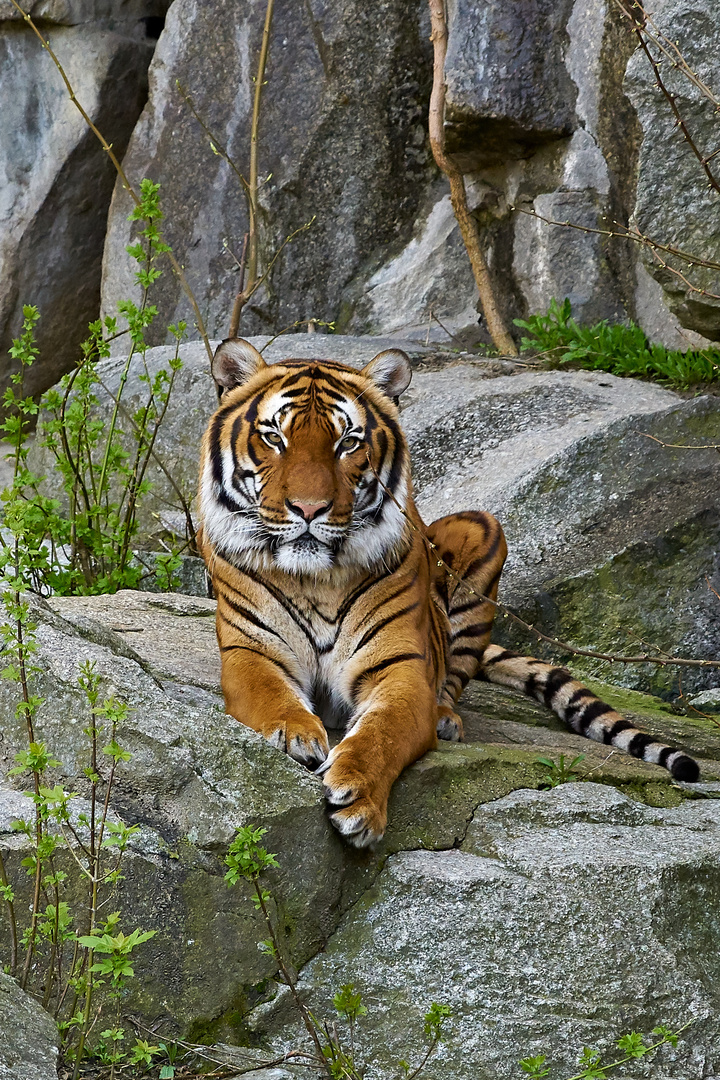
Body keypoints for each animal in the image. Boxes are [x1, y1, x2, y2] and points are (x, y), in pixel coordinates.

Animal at [195, 341, 699, 846]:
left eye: (348, 443)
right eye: (274, 438)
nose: (308, 508)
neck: (314, 578)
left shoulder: (401, 667)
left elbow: (383, 734)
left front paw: (359, 799)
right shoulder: (251, 652)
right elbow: (271, 697)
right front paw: (298, 734)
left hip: (484, 528)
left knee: (456, 677)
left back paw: (445, 717)